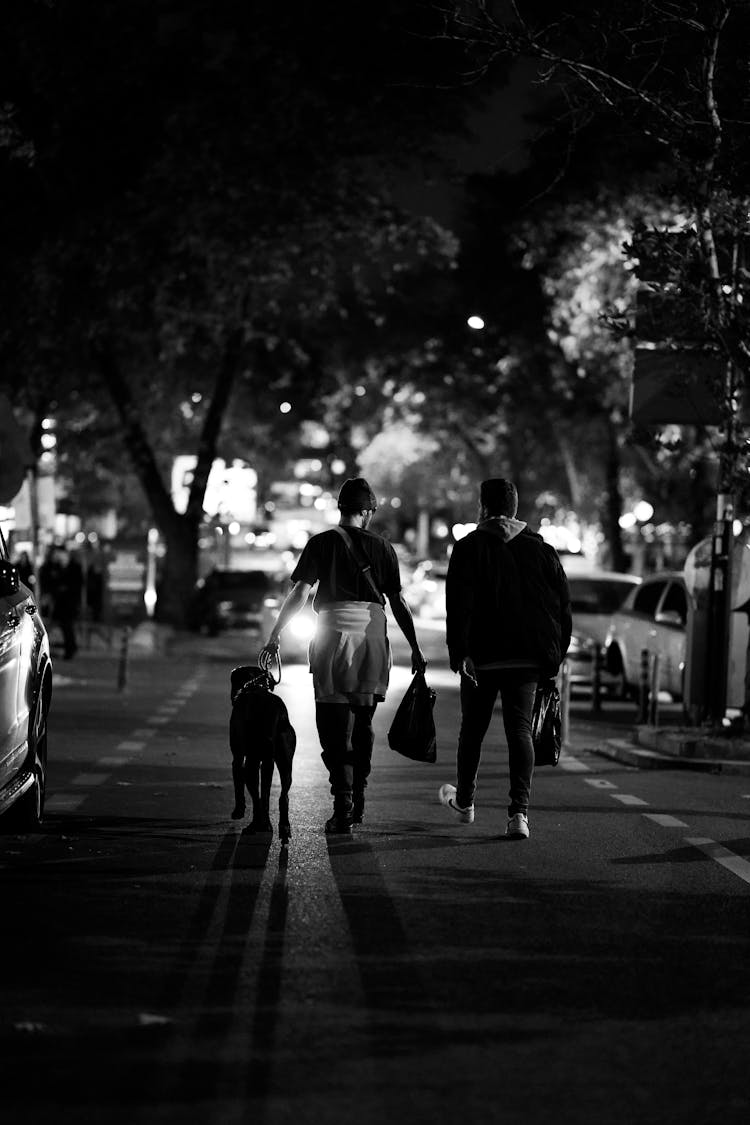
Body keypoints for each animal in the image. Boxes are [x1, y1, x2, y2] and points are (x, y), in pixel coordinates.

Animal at [229, 661, 296, 841]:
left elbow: (239, 787)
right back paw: (282, 826)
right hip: (284, 762)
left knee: (258, 797)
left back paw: (257, 824)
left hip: (252, 762)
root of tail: (278, 716)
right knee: (281, 796)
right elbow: (265, 794)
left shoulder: (238, 758)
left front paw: (238, 811)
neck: (254, 686)